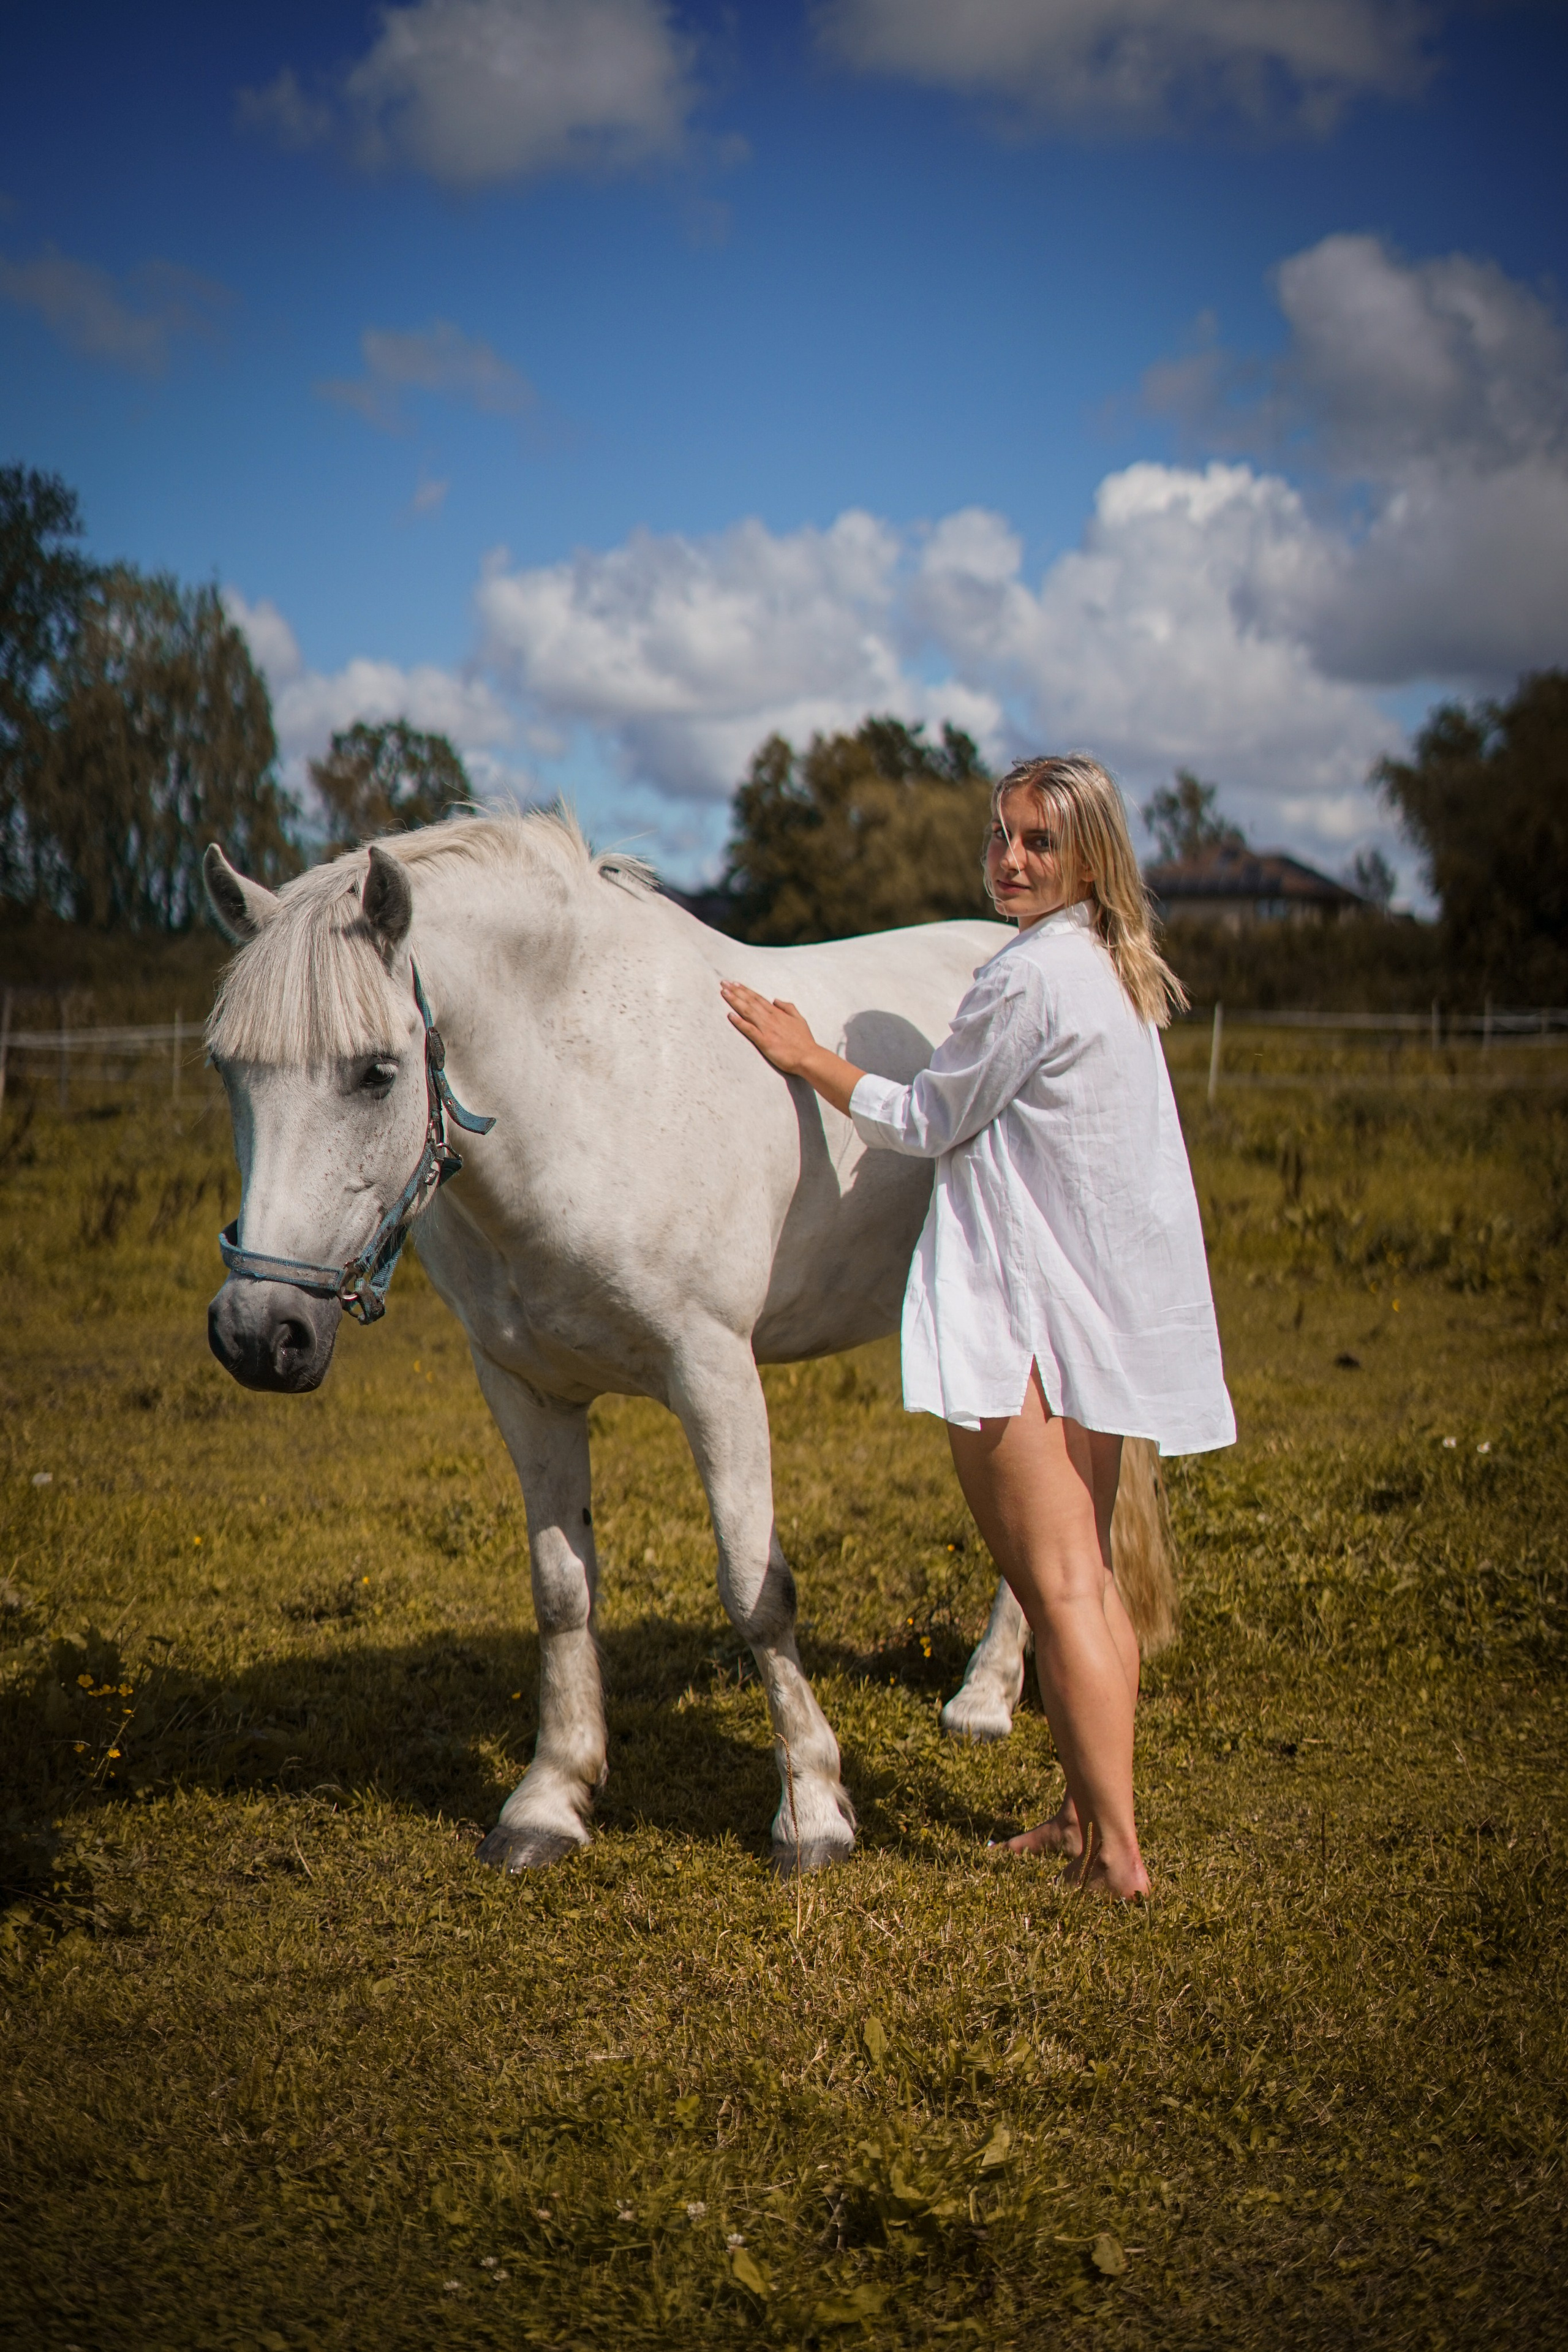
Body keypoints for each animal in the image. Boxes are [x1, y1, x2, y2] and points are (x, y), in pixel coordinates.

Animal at [201, 810, 1176, 1873]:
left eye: (376, 1072)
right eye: (227, 1071)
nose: (259, 1334)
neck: (592, 1091)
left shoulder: (714, 1373)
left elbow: (756, 1589)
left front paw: (812, 1813)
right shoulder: (523, 1387)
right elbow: (562, 1589)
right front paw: (549, 1800)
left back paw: (986, 1700)